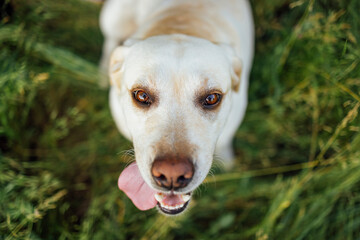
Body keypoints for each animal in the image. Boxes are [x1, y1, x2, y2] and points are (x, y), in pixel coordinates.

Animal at [100, 0, 255, 215]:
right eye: (141, 95)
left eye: (211, 98)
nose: (172, 174)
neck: (181, 25)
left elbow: (224, 141)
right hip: (113, 19)